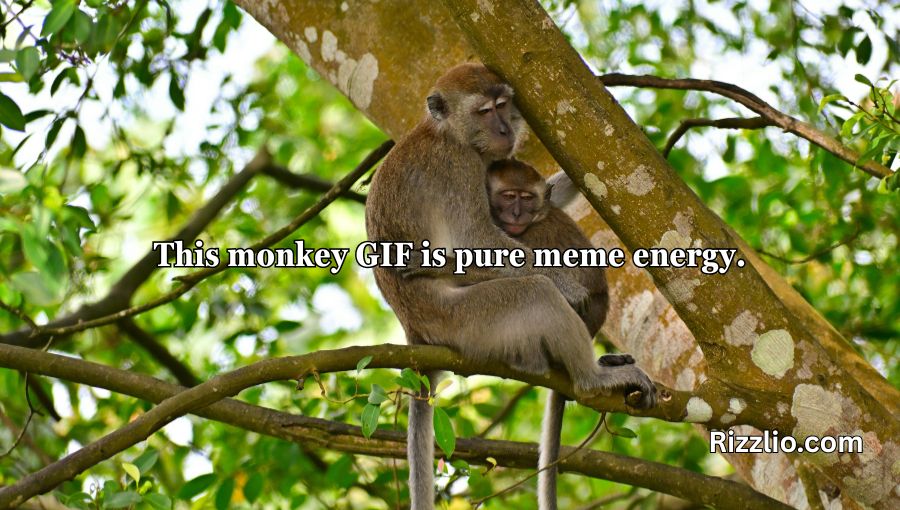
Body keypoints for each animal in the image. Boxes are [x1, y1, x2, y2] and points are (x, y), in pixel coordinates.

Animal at [364, 63, 657, 510]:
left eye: (503, 105)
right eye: (485, 111)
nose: (504, 129)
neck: (446, 133)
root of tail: (415, 333)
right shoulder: (457, 168)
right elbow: (473, 242)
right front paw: (568, 285)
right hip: (467, 322)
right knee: (535, 294)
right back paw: (591, 378)